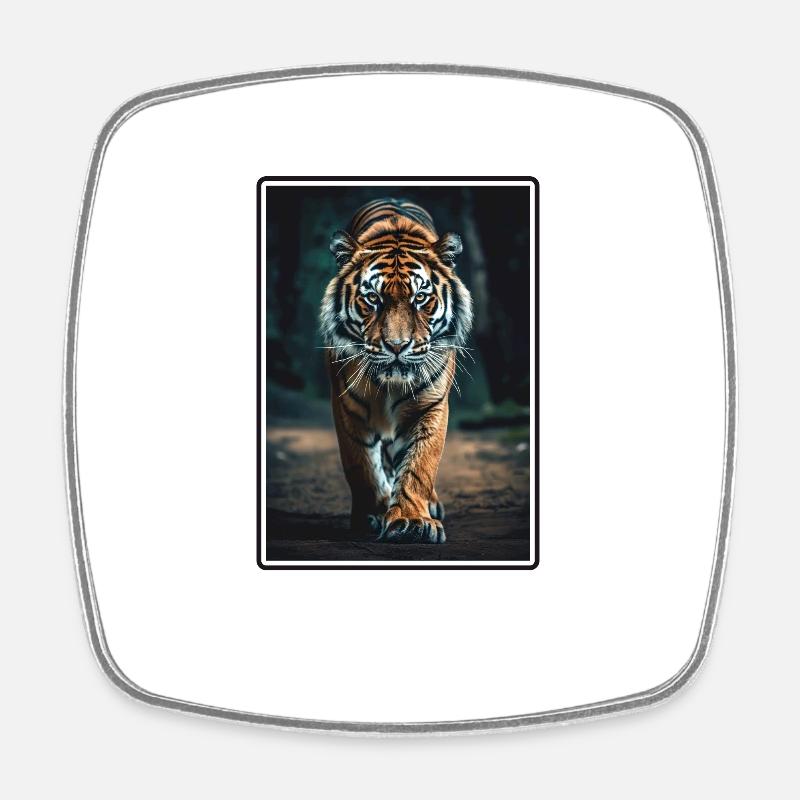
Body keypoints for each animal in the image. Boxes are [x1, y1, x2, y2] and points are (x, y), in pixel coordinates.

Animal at [319, 198, 473, 544]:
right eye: (372, 298)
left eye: (420, 298)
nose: (397, 345)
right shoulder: (347, 406)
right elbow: (362, 465)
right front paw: (373, 514)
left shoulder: (430, 406)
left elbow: (419, 465)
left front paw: (411, 521)